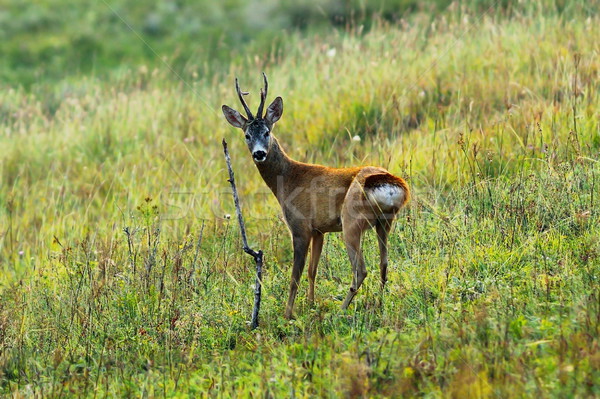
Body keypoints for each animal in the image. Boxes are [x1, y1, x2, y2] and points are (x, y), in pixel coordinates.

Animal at [223, 73, 410, 320]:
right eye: (246, 135)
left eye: (267, 132)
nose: (259, 153)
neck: (288, 179)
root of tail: (390, 182)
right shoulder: (319, 230)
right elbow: (313, 270)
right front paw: (311, 304)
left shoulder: (300, 226)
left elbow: (295, 276)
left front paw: (289, 314)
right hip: (385, 222)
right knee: (384, 265)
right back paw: (379, 305)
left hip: (352, 222)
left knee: (361, 270)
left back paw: (340, 311)